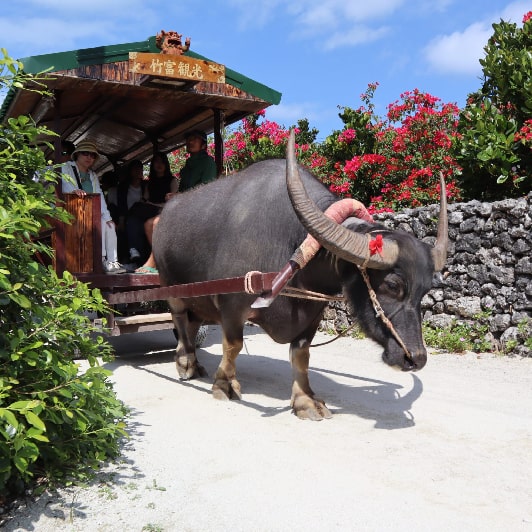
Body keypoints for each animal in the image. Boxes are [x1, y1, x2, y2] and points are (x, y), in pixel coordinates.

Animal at [152, 130, 446, 420]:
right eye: (393, 285)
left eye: (425, 290)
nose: (416, 358)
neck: (294, 244)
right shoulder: (231, 305)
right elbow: (233, 345)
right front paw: (225, 385)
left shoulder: (311, 314)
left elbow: (301, 355)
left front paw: (305, 401)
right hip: (172, 287)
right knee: (179, 319)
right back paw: (186, 364)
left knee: (192, 323)